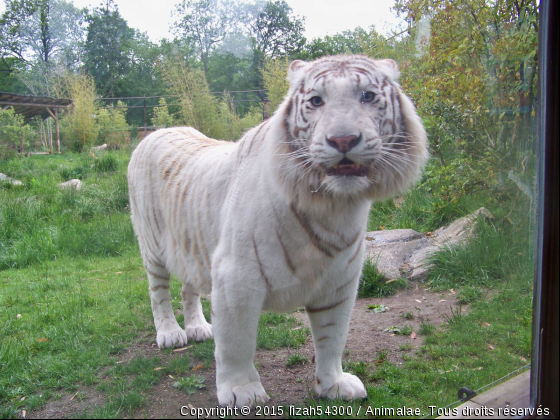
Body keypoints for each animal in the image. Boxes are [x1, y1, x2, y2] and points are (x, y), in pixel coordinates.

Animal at [128, 54, 428, 408]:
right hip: (153, 247)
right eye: (316, 101)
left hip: (192, 247)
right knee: (158, 292)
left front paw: (334, 384)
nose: (342, 140)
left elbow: (333, 336)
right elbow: (237, 343)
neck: (333, 206)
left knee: (189, 287)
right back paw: (171, 334)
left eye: (367, 96)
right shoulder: (235, 278)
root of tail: (155, 132)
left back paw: (199, 327)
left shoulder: (341, 280)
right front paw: (243, 392)